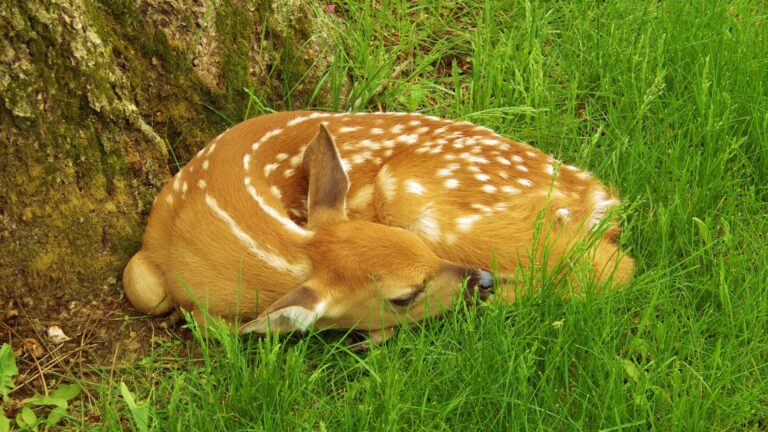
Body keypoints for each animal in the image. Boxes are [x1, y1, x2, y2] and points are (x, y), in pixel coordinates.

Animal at [123, 111, 634, 346]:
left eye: (419, 250)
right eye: (402, 296)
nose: (482, 281)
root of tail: (596, 196)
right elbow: (142, 285)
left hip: (418, 198)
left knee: (611, 269)